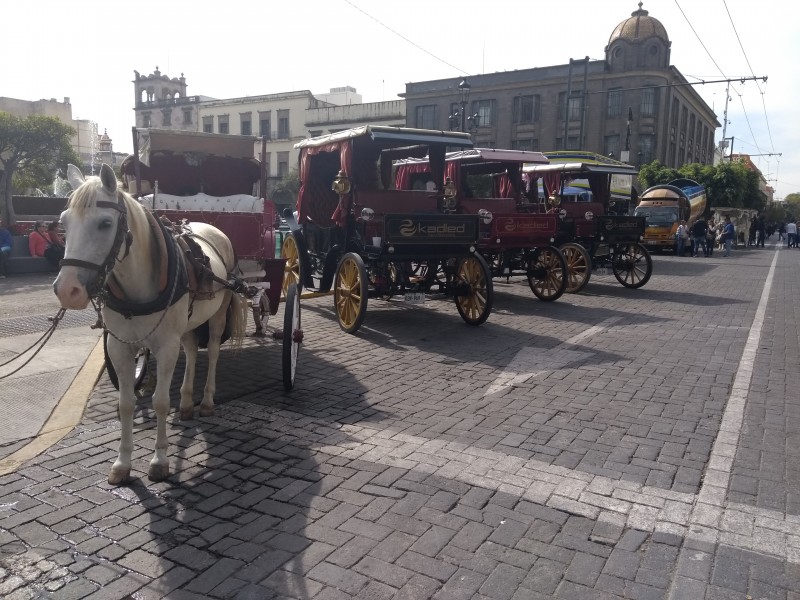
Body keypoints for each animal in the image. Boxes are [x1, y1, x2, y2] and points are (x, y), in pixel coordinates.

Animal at [54, 163, 245, 482]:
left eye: (105, 223)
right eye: (64, 223)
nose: (68, 290)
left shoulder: (165, 346)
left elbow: (159, 401)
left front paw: (160, 460)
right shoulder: (119, 347)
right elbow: (126, 403)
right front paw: (122, 463)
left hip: (219, 312)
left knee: (213, 351)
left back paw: (206, 401)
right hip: (187, 323)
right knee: (191, 351)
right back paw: (186, 403)